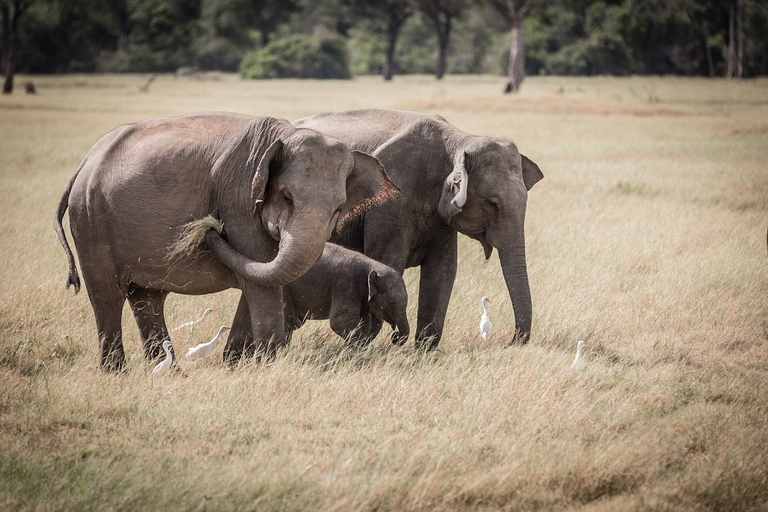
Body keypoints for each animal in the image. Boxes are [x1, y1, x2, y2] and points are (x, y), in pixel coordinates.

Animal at [53, 112, 396, 370]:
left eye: (339, 208)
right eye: (286, 197)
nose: (211, 226)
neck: (283, 134)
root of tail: (86, 161)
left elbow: (260, 276)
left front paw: (237, 364)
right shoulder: (239, 199)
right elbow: (261, 281)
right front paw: (269, 365)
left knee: (147, 298)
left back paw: (169, 372)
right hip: (91, 221)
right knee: (106, 296)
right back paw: (117, 372)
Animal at [282, 242, 412, 346]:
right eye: (389, 303)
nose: (395, 336)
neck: (372, 266)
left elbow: (364, 323)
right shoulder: (346, 285)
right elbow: (339, 321)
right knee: (289, 322)